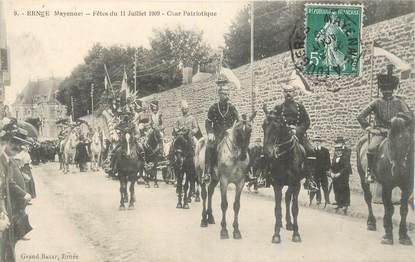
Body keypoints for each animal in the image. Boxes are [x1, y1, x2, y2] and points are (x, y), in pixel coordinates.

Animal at [264, 111, 308, 243]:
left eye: (276, 128)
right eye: (263, 126)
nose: (267, 152)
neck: (286, 157)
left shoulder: (296, 184)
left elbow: (295, 208)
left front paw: (296, 233)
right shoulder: (277, 184)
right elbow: (277, 209)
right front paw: (276, 234)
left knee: (288, 197)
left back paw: (289, 223)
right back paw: (282, 223)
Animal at [356, 115, 414, 245]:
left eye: (407, 140)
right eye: (389, 140)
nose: (398, 170)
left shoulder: (407, 187)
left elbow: (403, 209)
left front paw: (404, 236)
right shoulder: (387, 186)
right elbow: (389, 209)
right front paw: (388, 235)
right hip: (363, 178)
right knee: (368, 198)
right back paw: (371, 222)